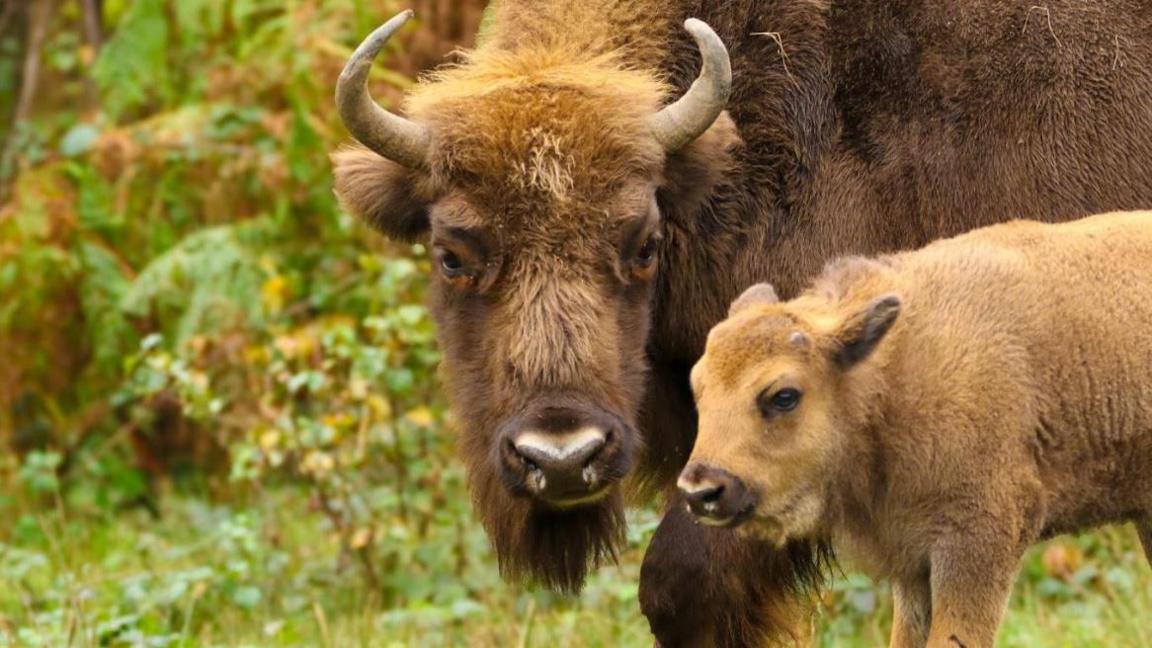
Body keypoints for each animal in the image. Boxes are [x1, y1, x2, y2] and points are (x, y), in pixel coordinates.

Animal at [677, 209, 1147, 641]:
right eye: (698, 384)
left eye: (784, 395)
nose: (701, 490)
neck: (888, 376)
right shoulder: (912, 563)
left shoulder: (977, 544)